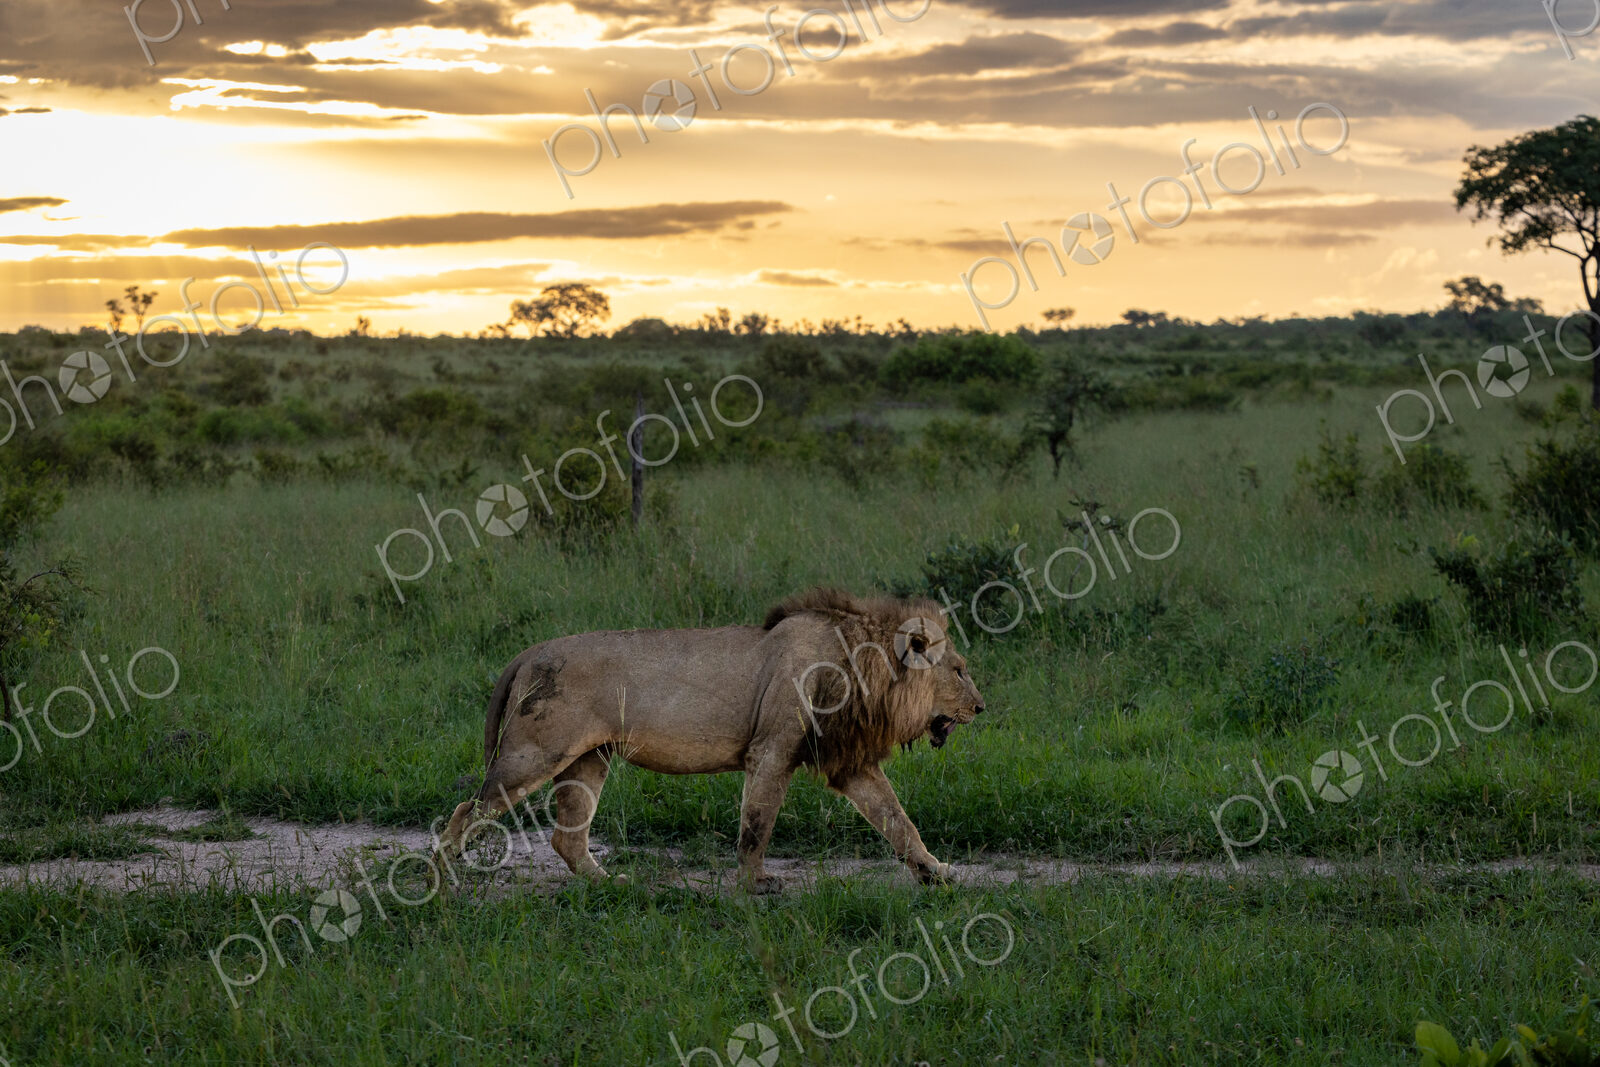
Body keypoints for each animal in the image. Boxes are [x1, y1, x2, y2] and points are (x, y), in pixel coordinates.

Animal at [435, 587, 987, 892]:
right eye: (960, 671)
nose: (982, 707)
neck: (862, 664)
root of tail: (530, 650)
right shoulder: (773, 749)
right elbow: (757, 823)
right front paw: (756, 884)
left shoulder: (849, 762)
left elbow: (897, 821)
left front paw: (935, 873)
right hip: (535, 754)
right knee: (465, 811)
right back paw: (439, 883)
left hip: (587, 761)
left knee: (566, 837)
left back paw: (609, 885)